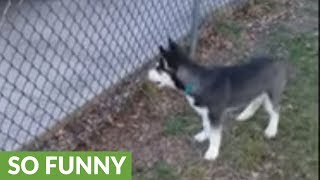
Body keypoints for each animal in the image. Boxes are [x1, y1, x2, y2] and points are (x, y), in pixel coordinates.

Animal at [148, 38, 292, 160]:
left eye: (158, 69)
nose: (147, 74)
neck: (197, 81)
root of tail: (279, 61)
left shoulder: (215, 115)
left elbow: (215, 135)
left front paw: (212, 151)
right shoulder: (206, 113)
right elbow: (206, 126)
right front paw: (204, 135)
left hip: (272, 95)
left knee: (276, 111)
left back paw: (271, 130)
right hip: (257, 91)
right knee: (256, 100)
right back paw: (246, 114)